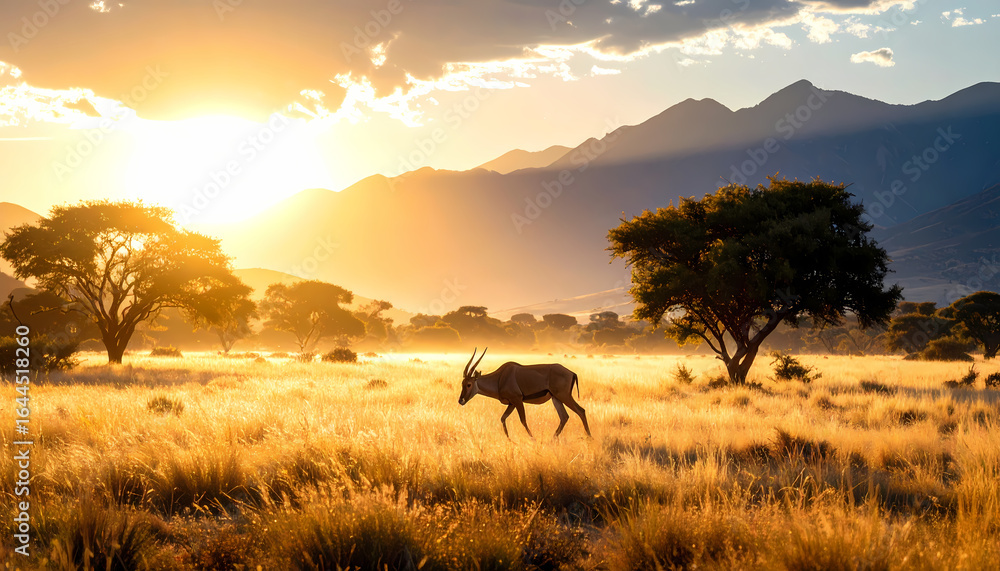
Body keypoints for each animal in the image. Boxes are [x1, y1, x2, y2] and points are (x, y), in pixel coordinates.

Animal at [458, 348, 591, 438]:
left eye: (469, 384)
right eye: (462, 383)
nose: (461, 400)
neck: (500, 378)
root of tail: (572, 373)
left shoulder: (517, 400)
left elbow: (523, 420)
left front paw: (533, 439)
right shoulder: (511, 404)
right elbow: (503, 418)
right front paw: (510, 440)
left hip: (564, 396)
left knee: (581, 411)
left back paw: (590, 438)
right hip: (556, 398)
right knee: (564, 417)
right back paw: (552, 440)